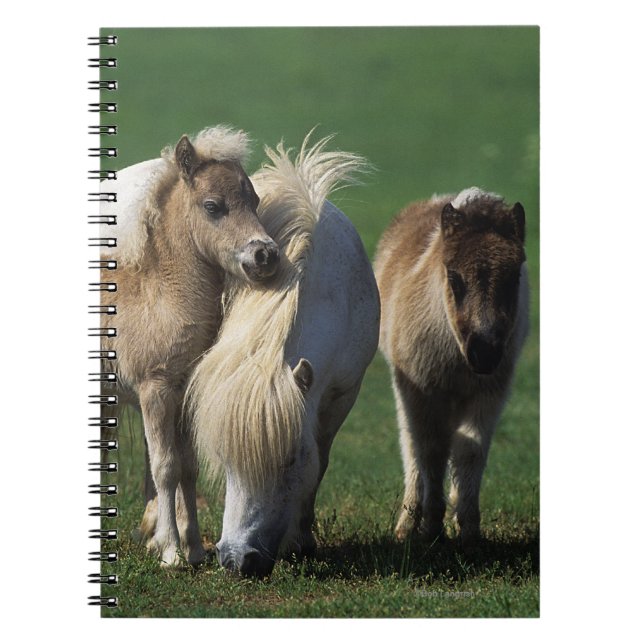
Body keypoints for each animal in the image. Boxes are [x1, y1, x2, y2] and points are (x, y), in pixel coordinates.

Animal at [100, 126, 280, 568]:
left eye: (254, 200)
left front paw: (196, 550)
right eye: (213, 206)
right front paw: (171, 553)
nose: (265, 254)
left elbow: (188, 468)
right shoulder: (155, 390)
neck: (161, 295)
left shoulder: (183, 396)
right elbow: (164, 468)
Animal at [186, 135, 380, 577]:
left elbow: (320, 462)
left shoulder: (342, 395)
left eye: (291, 460)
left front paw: (301, 540)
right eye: (226, 460)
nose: (238, 559)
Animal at [374, 187, 528, 546]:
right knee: (412, 447)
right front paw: (431, 527)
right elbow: (431, 451)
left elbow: (470, 449)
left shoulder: (489, 393)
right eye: (455, 278)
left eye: (514, 276)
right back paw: (407, 524)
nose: (485, 352)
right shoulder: (422, 390)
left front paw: (469, 530)